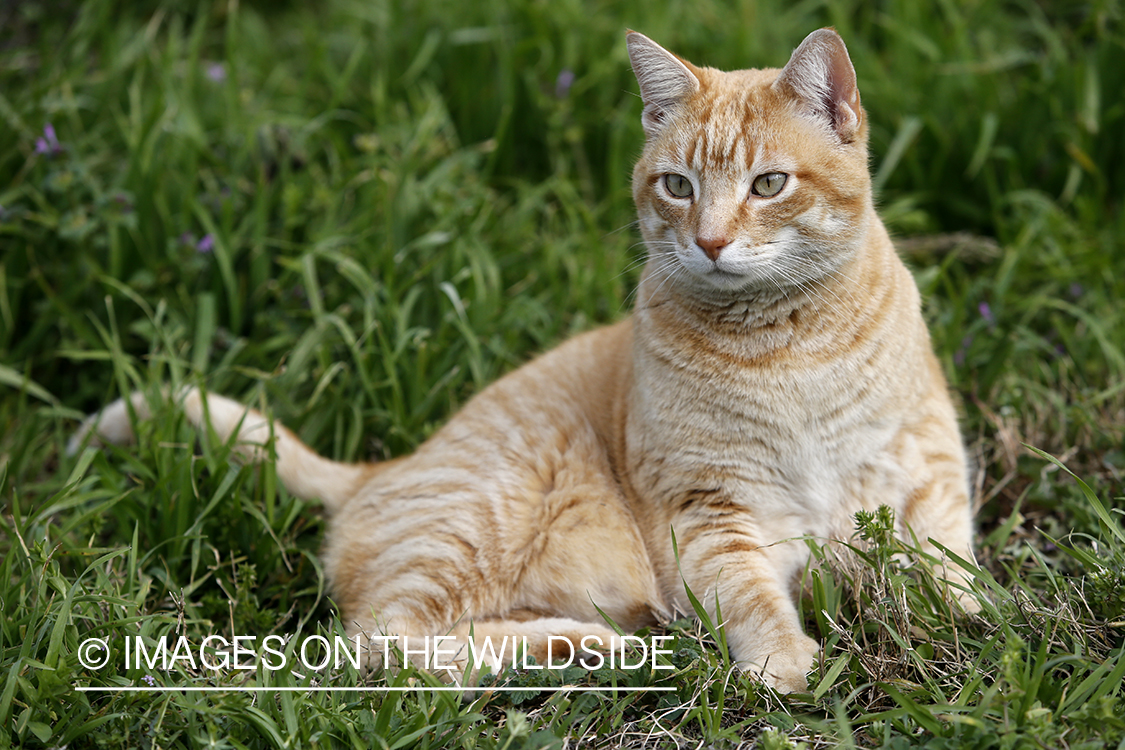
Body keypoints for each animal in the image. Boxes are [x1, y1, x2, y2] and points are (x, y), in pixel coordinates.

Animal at [74, 26, 981, 697]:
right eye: (677, 187)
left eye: (768, 184)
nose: (711, 242)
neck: (782, 343)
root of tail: (377, 472)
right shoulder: (705, 509)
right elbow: (753, 593)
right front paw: (781, 665)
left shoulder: (926, 461)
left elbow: (945, 556)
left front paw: (970, 621)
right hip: (479, 521)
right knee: (382, 645)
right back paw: (589, 647)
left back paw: (594, 645)